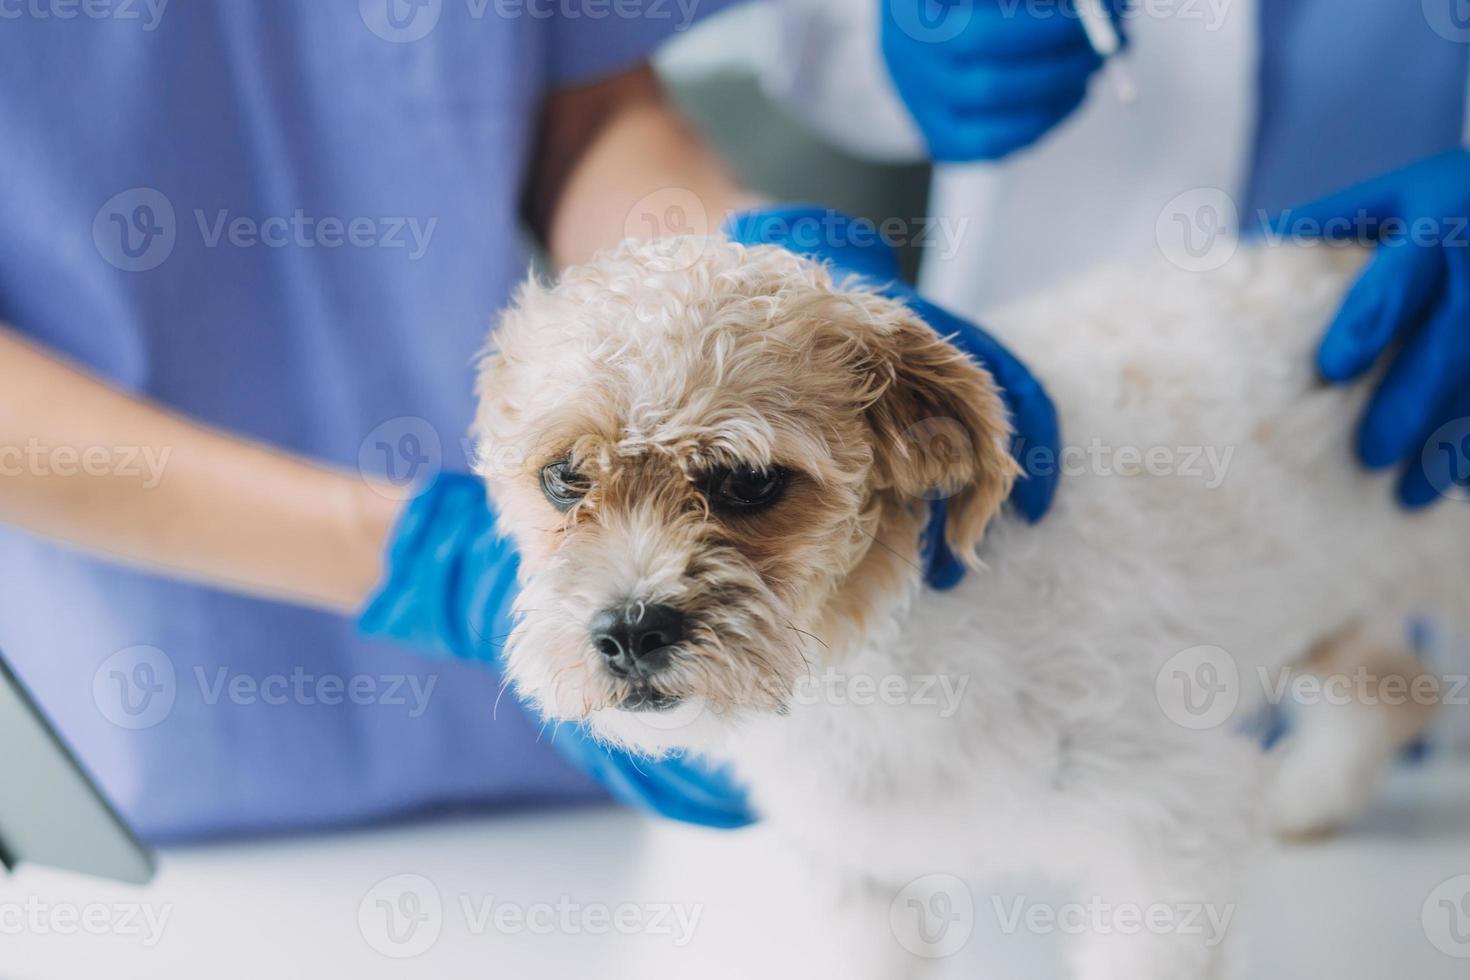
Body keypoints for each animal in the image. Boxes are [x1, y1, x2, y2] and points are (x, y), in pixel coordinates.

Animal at [467, 238, 1458, 980]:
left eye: (747, 481)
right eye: (564, 479)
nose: (630, 630)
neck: (878, 655)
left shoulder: (1172, 836)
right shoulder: (855, 879)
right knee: (1404, 688)